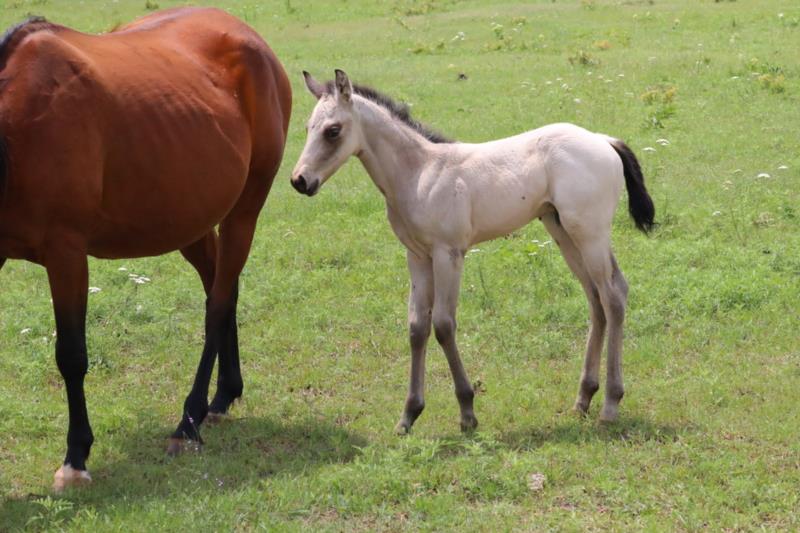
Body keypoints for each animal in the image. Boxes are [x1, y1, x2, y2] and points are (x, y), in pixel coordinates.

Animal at [0, 8, 291, 490]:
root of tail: (251, 39)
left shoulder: (65, 253)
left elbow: (71, 356)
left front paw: (76, 458)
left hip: (244, 211)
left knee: (217, 305)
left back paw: (188, 423)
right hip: (190, 220)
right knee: (222, 289)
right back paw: (223, 395)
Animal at [291, 70, 654, 435]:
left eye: (333, 130)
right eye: (308, 127)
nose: (300, 180)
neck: (419, 173)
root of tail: (602, 140)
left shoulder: (448, 254)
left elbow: (443, 324)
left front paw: (467, 412)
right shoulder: (417, 256)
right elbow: (417, 328)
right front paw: (408, 415)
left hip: (589, 233)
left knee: (613, 296)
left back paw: (610, 404)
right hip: (563, 232)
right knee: (596, 298)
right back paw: (583, 398)